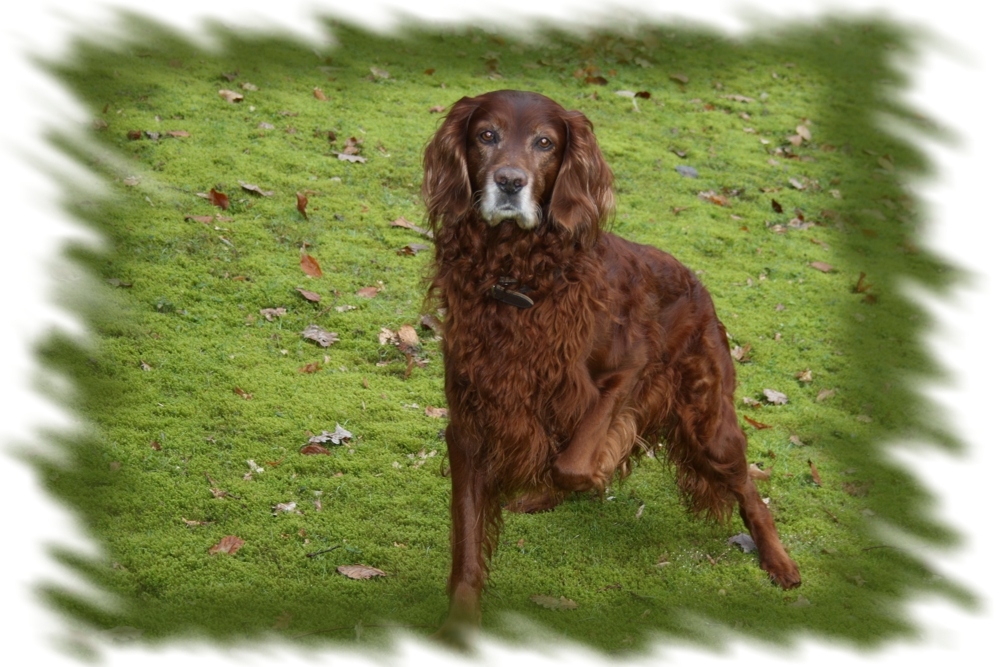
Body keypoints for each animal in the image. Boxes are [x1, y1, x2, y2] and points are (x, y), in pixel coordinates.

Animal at [422, 88, 804, 636]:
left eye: (545, 143)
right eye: (485, 135)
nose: (510, 182)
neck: (517, 277)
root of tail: (698, 282)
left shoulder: (629, 373)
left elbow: (576, 464)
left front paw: (596, 464)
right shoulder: (470, 421)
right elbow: (470, 542)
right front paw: (459, 621)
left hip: (708, 422)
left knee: (750, 490)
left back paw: (779, 563)